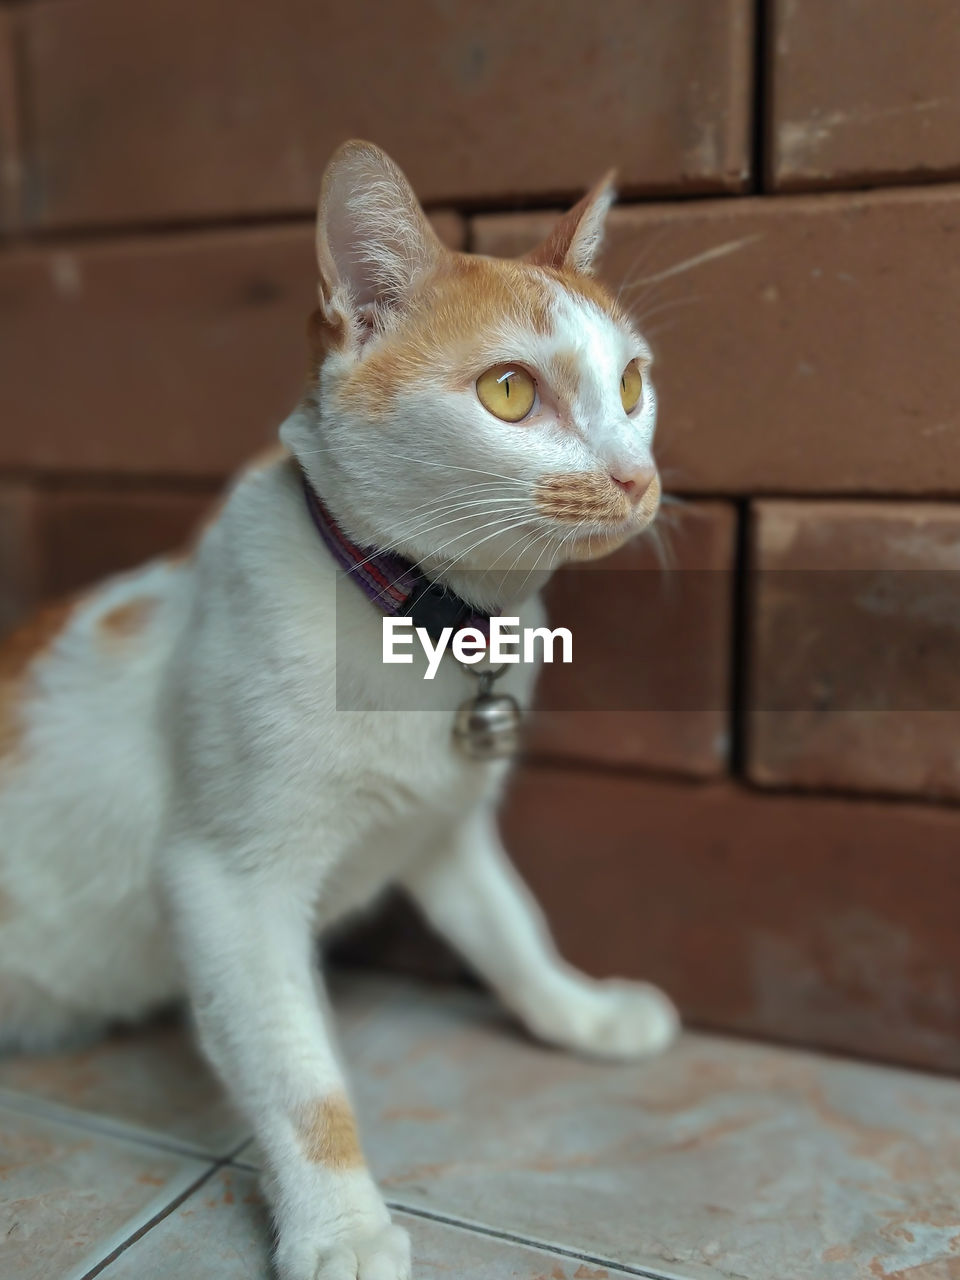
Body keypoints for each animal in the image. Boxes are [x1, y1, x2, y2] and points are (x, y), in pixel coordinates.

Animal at [0, 140, 675, 1280]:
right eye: (508, 390)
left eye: (631, 382)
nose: (637, 479)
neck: (423, 626)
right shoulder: (228, 888)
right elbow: (298, 1075)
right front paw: (342, 1225)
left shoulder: (445, 831)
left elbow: (512, 928)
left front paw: (578, 1012)